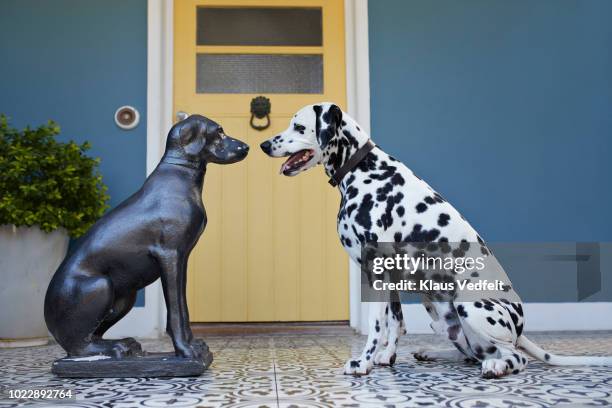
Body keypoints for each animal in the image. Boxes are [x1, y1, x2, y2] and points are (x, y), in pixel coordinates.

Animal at [260, 103, 612, 380]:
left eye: (298, 126)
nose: (264, 144)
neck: (362, 169)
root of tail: (520, 328)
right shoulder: (389, 277)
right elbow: (395, 322)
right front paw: (385, 357)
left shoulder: (376, 271)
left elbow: (377, 324)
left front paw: (363, 362)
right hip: (440, 312)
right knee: (474, 354)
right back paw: (432, 353)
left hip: (471, 304)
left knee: (513, 357)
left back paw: (497, 367)